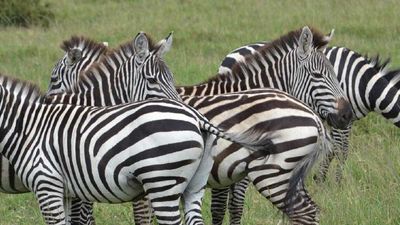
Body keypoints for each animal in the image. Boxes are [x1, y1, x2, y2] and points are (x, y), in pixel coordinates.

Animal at [216, 33, 400, 223]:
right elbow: (341, 150)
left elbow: (332, 150)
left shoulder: (343, 119)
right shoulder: (341, 120)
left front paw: (321, 180)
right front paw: (335, 184)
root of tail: (232, 53)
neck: (363, 84)